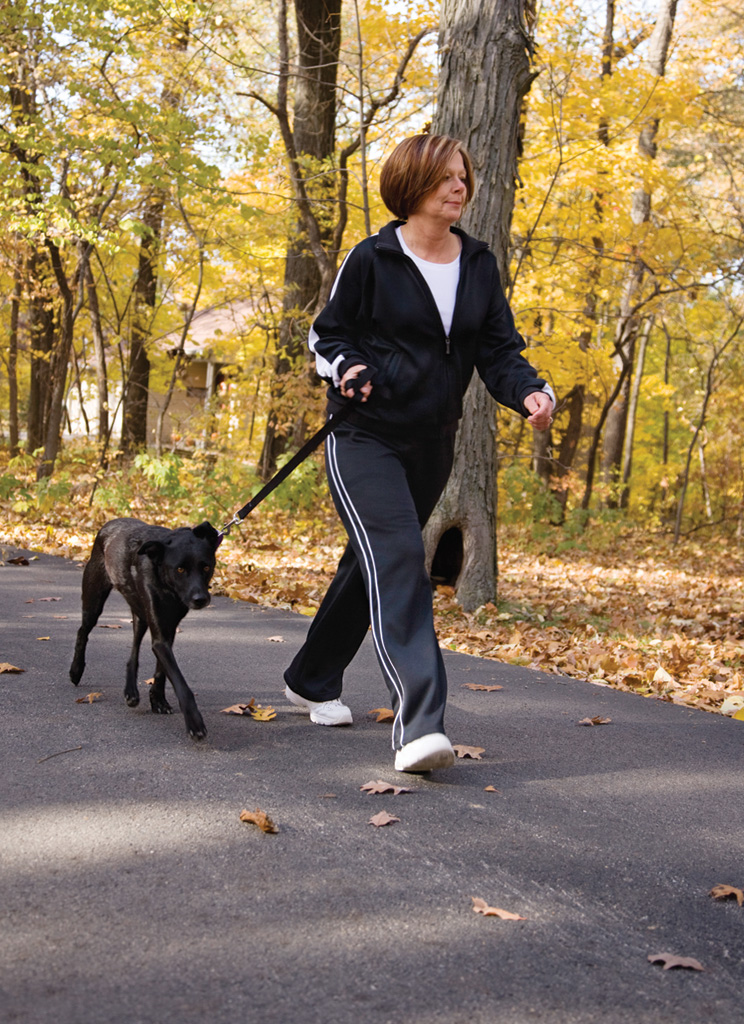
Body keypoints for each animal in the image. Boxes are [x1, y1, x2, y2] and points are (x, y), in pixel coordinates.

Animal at [69, 516, 221, 741]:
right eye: (180, 569)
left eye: (206, 567)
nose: (200, 599)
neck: (167, 586)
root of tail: (110, 524)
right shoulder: (160, 636)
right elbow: (180, 683)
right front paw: (195, 722)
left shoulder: (167, 630)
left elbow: (161, 670)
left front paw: (158, 700)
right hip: (94, 599)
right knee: (82, 632)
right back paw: (76, 670)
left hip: (139, 613)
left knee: (134, 648)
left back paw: (131, 691)